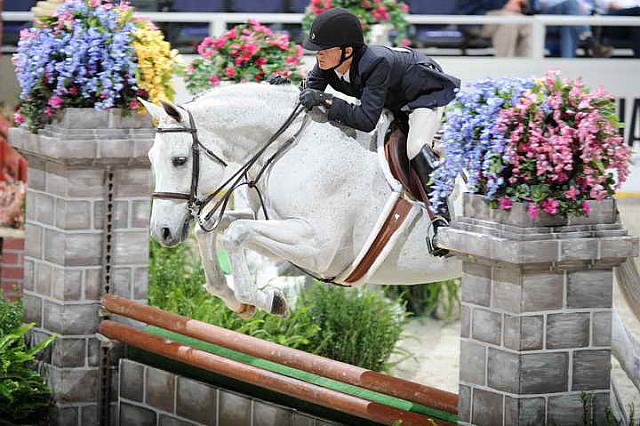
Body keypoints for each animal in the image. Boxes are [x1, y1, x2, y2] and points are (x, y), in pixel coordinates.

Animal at [140, 83, 462, 316]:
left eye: (179, 160)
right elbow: (211, 231)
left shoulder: (318, 247)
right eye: (151, 158)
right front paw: (237, 302)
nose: (161, 232)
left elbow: (235, 234)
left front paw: (271, 301)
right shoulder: (270, 222)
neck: (292, 146)